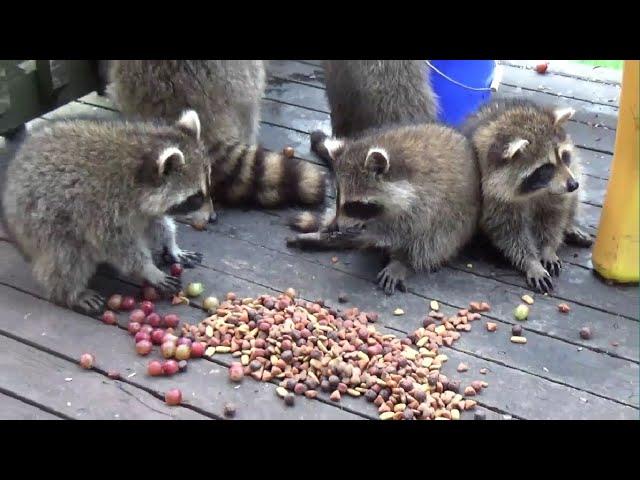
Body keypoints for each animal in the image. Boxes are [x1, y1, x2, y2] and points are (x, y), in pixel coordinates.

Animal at [0, 110, 208, 316]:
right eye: (196, 197)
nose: (209, 217)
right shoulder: (100, 208)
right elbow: (116, 245)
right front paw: (149, 269)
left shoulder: (144, 210)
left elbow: (157, 223)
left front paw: (171, 244)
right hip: (41, 221)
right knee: (67, 256)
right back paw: (70, 292)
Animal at [286, 125, 480, 294]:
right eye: (338, 197)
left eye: (353, 205)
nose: (336, 226)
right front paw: (333, 227)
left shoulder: (430, 199)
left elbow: (407, 230)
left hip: (458, 219)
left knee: (434, 240)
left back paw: (403, 259)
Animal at [462, 98, 592, 292]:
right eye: (546, 167)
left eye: (563, 156)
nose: (573, 184)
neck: (536, 190)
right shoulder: (492, 196)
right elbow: (509, 232)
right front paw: (531, 262)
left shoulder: (558, 187)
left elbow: (554, 216)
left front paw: (548, 248)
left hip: (575, 171)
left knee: (574, 191)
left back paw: (569, 225)